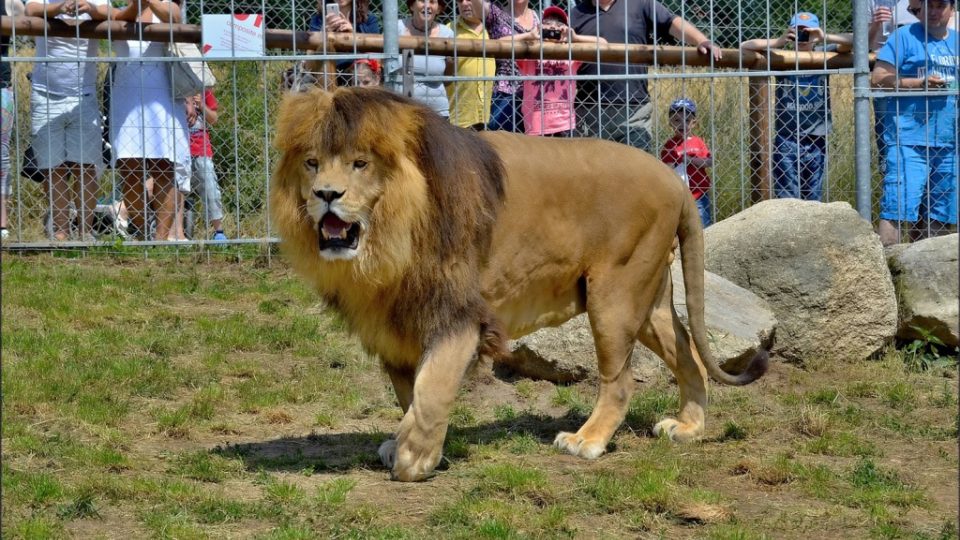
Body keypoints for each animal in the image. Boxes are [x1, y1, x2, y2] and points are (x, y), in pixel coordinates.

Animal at [272, 86, 772, 484]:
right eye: (312, 163)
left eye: (360, 164)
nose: (326, 195)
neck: (385, 244)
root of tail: (673, 178)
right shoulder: (394, 324)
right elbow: (408, 392)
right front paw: (410, 444)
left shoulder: (458, 313)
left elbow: (432, 388)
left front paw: (415, 458)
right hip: (649, 301)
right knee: (689, 356)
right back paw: (689, 428)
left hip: (615, 294)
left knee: (621, 380)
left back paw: (587, 441)